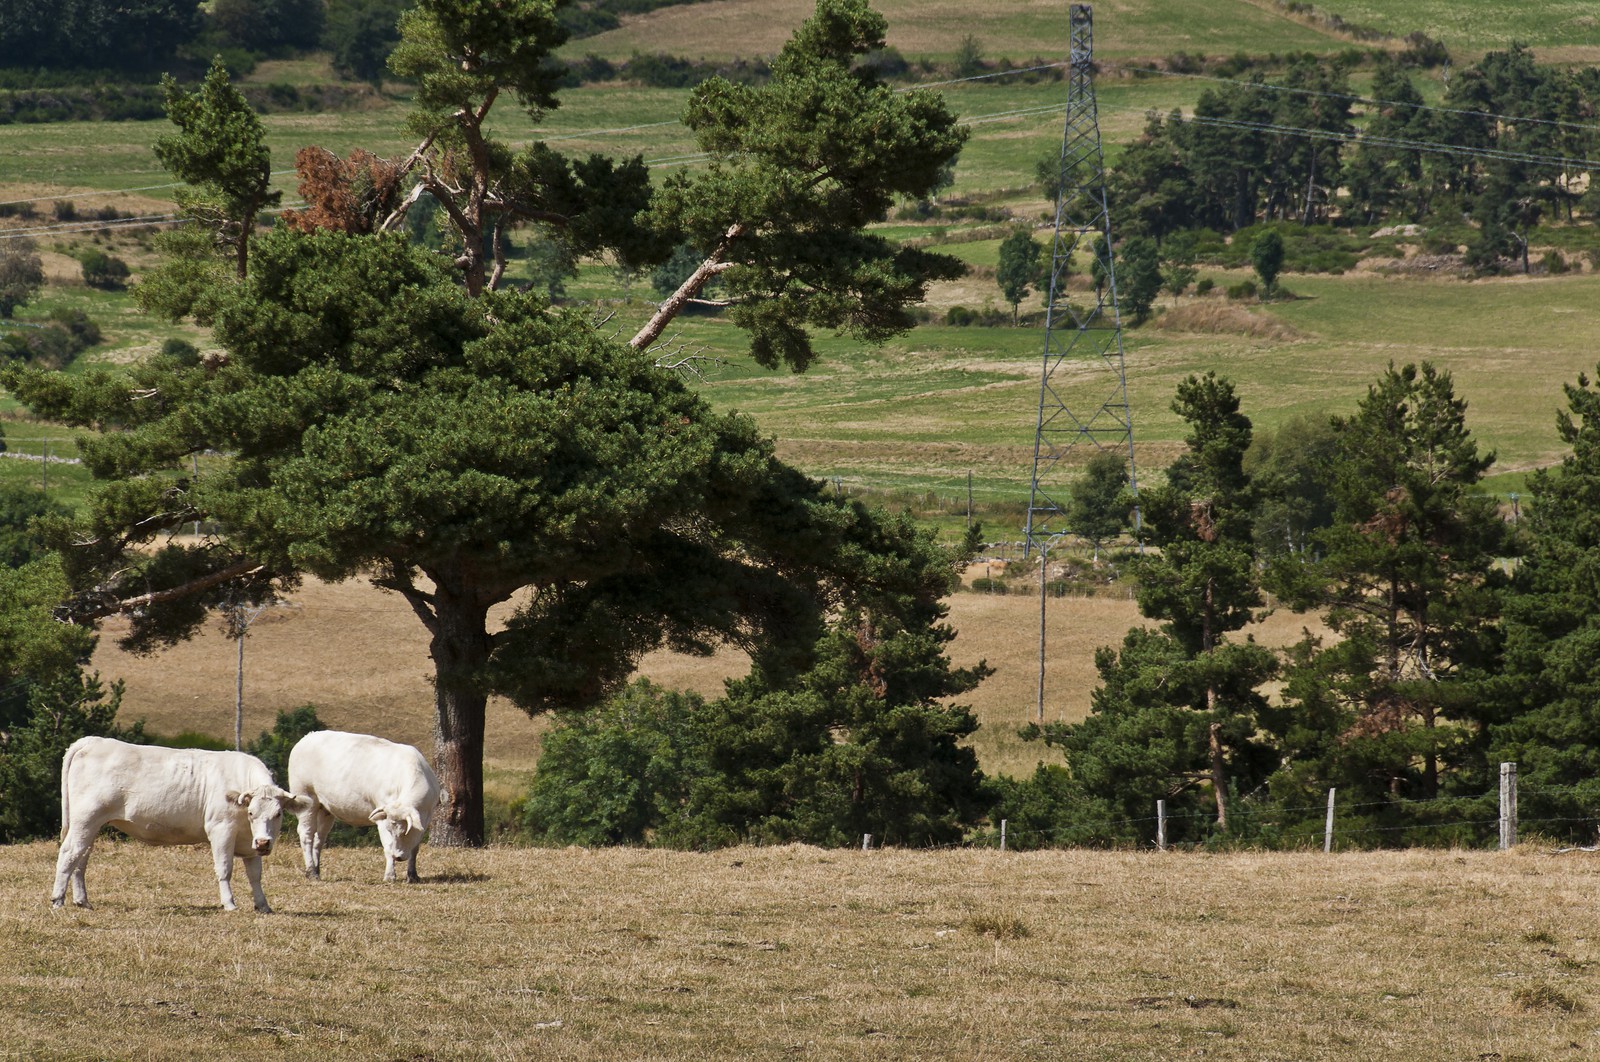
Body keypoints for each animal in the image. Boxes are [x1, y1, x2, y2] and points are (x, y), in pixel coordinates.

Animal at [52, 736, 310, 913]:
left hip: (90, 824)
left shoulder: (249, 842)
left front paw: (263, 905)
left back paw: (82, 900)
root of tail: (93, 740)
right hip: (86, 819)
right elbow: (224, 868)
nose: (264, 842)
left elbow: (255, 875)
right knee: (69, 853)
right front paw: (229, 903)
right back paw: (57, 899)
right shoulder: (221, 830)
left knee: (81, 857)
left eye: (278, 814)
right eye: (251, 812)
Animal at [288, 730, 441, 884]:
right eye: (390, 830)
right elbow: (388, 847)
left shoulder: (426, 819)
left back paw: (317, 869)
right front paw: (390, 875)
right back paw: (311, 871)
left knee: (319, 839)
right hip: (306, 798)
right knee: (306, 834)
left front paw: (413, 875)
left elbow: (415, 849)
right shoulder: (382, 818)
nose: (398, 856)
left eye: (405, 831)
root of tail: (308, 736)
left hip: (325, 809)